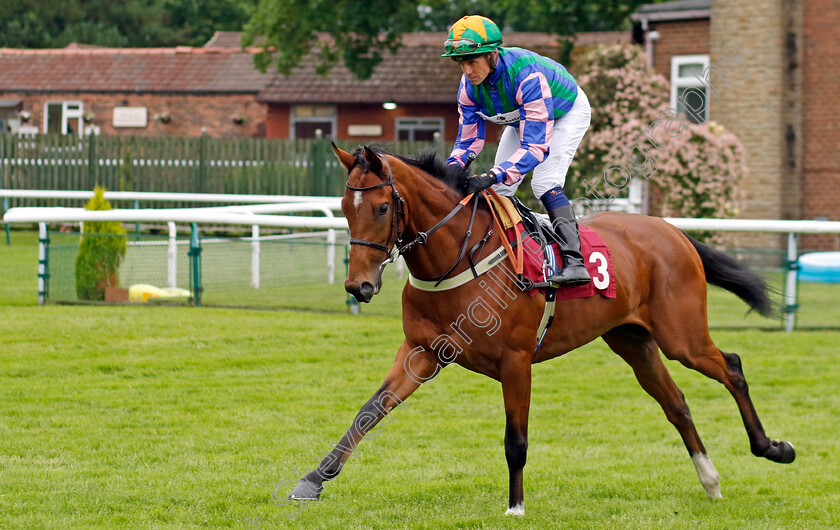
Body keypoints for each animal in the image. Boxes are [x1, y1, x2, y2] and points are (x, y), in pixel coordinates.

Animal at [288, 144, 796, 516]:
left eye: (379, 208)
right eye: (343, 207)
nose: (359, 285)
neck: (460, 257)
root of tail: (673, 231)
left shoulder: (516, 361)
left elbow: (516, 440)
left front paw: (515, 507)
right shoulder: (421, 352)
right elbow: (369, 411)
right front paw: (312, 480)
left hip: (682, 336)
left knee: (731, 367)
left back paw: (772, 448)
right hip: (633, 341)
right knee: (677, 404)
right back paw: (710, 480)